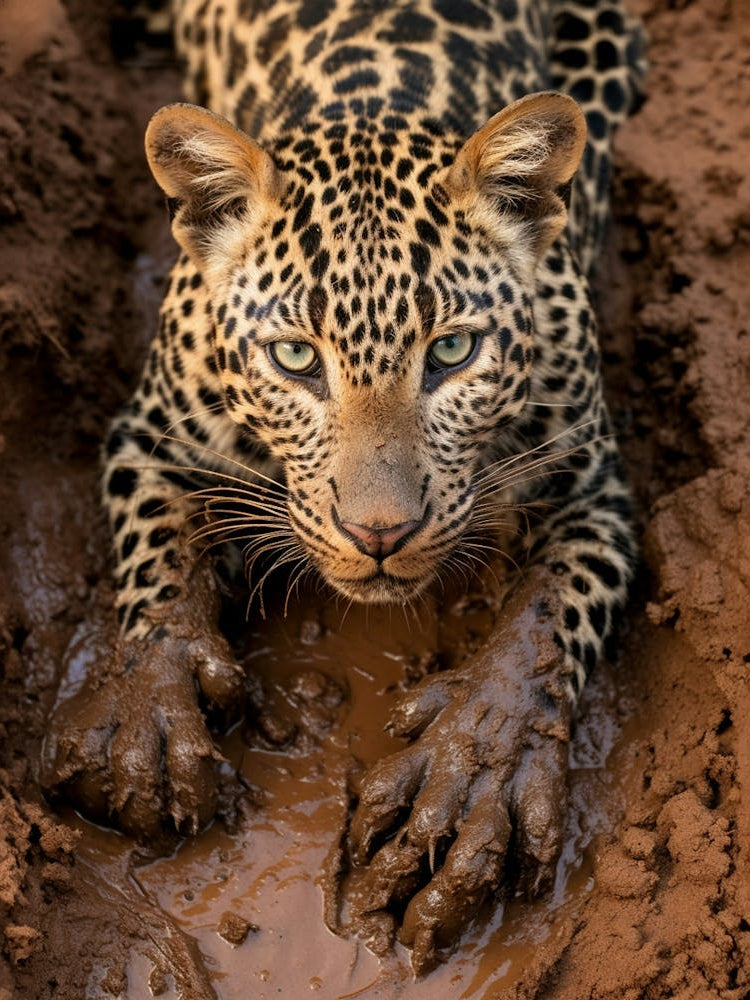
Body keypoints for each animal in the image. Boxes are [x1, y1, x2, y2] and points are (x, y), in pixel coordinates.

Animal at [41, 0, 646, 970]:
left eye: (452, 351)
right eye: (295, 358)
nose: (380, 534)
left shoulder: (597, 488)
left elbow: (550, 616)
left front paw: (472, 774)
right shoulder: (146, 432)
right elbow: (159, 552)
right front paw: (151, 716)